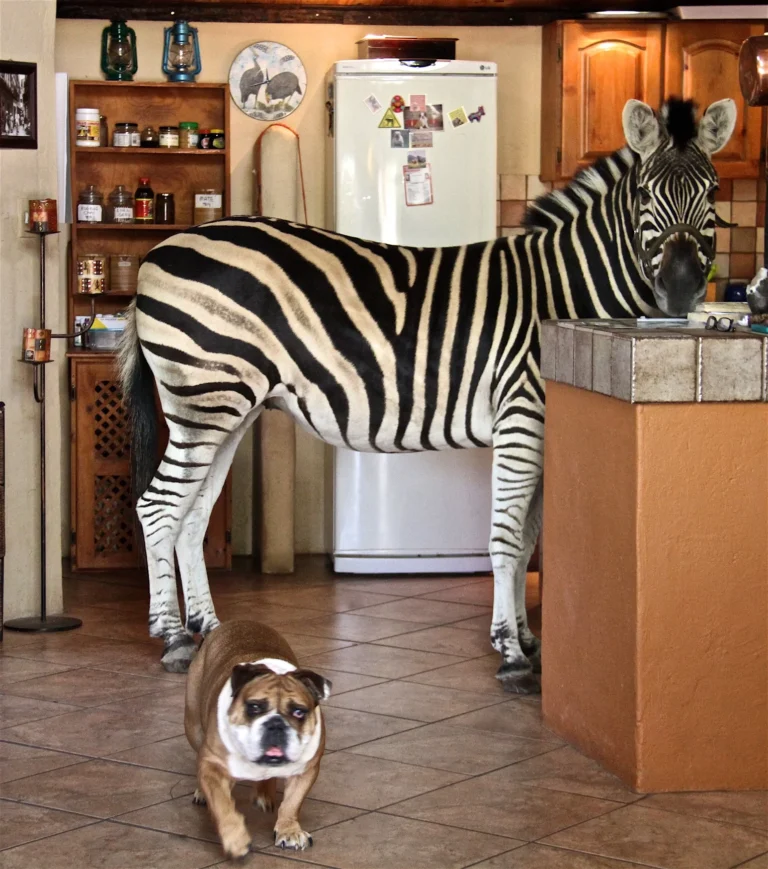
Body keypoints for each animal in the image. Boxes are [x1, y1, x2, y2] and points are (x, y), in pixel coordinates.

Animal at [118, 97, 736, 693]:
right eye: (645, 193)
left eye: (712, 191)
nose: (683, 289)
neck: (562, 289)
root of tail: (159, 252)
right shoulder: (521, 416)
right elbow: (507, 537)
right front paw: (511, 655)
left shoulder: (543, 427)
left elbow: (528, 536)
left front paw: (526, 638)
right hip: (204, 398)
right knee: (159, 507)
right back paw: (172, 638)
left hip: (230, 408)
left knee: (192, 514)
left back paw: (209, 629)